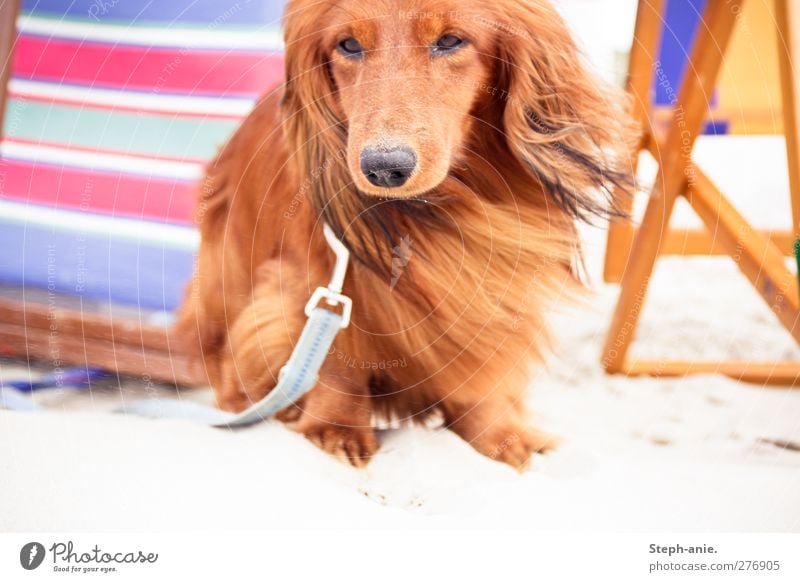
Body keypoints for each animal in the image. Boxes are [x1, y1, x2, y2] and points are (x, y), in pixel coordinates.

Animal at [178, 0, 636, 470]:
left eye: (450, 40)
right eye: (348, 45)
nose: (383, 168)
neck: (439, 210)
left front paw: (499, 435)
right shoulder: (319, 275)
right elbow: (338, 354)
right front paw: (337, 429)